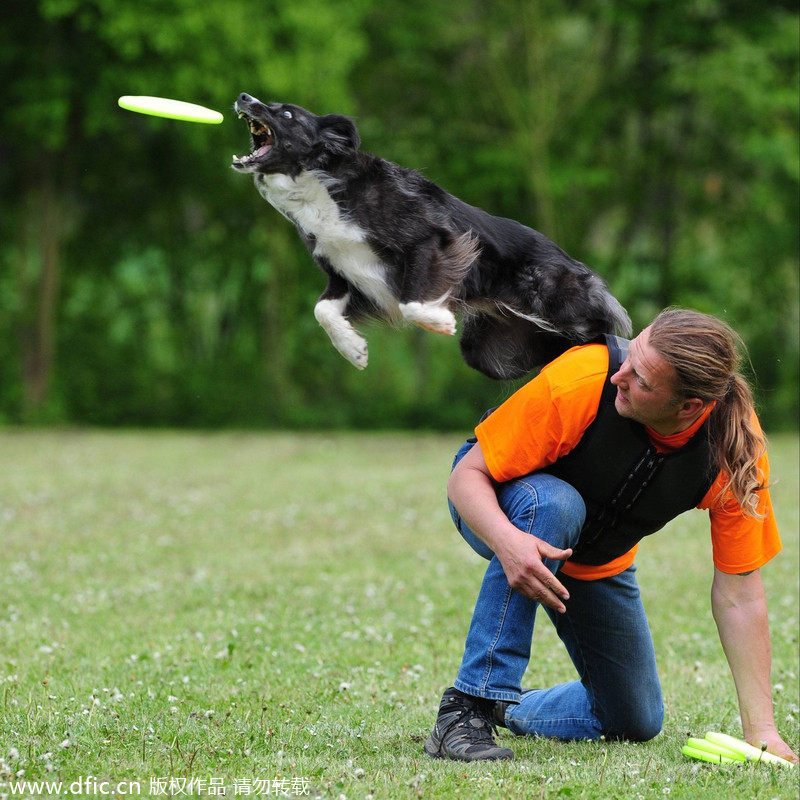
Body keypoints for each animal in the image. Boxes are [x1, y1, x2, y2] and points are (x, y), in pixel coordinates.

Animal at [231, 92, 632, 380]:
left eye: (287, 115)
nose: (243, 97)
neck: (320, 183)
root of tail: (576, 265)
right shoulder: (346, 274)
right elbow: (322, 310)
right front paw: (353, 349)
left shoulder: (428, 241)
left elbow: (411, 301)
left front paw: (439, 321)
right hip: (490, 352)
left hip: (551, 294)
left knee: (603, 328)